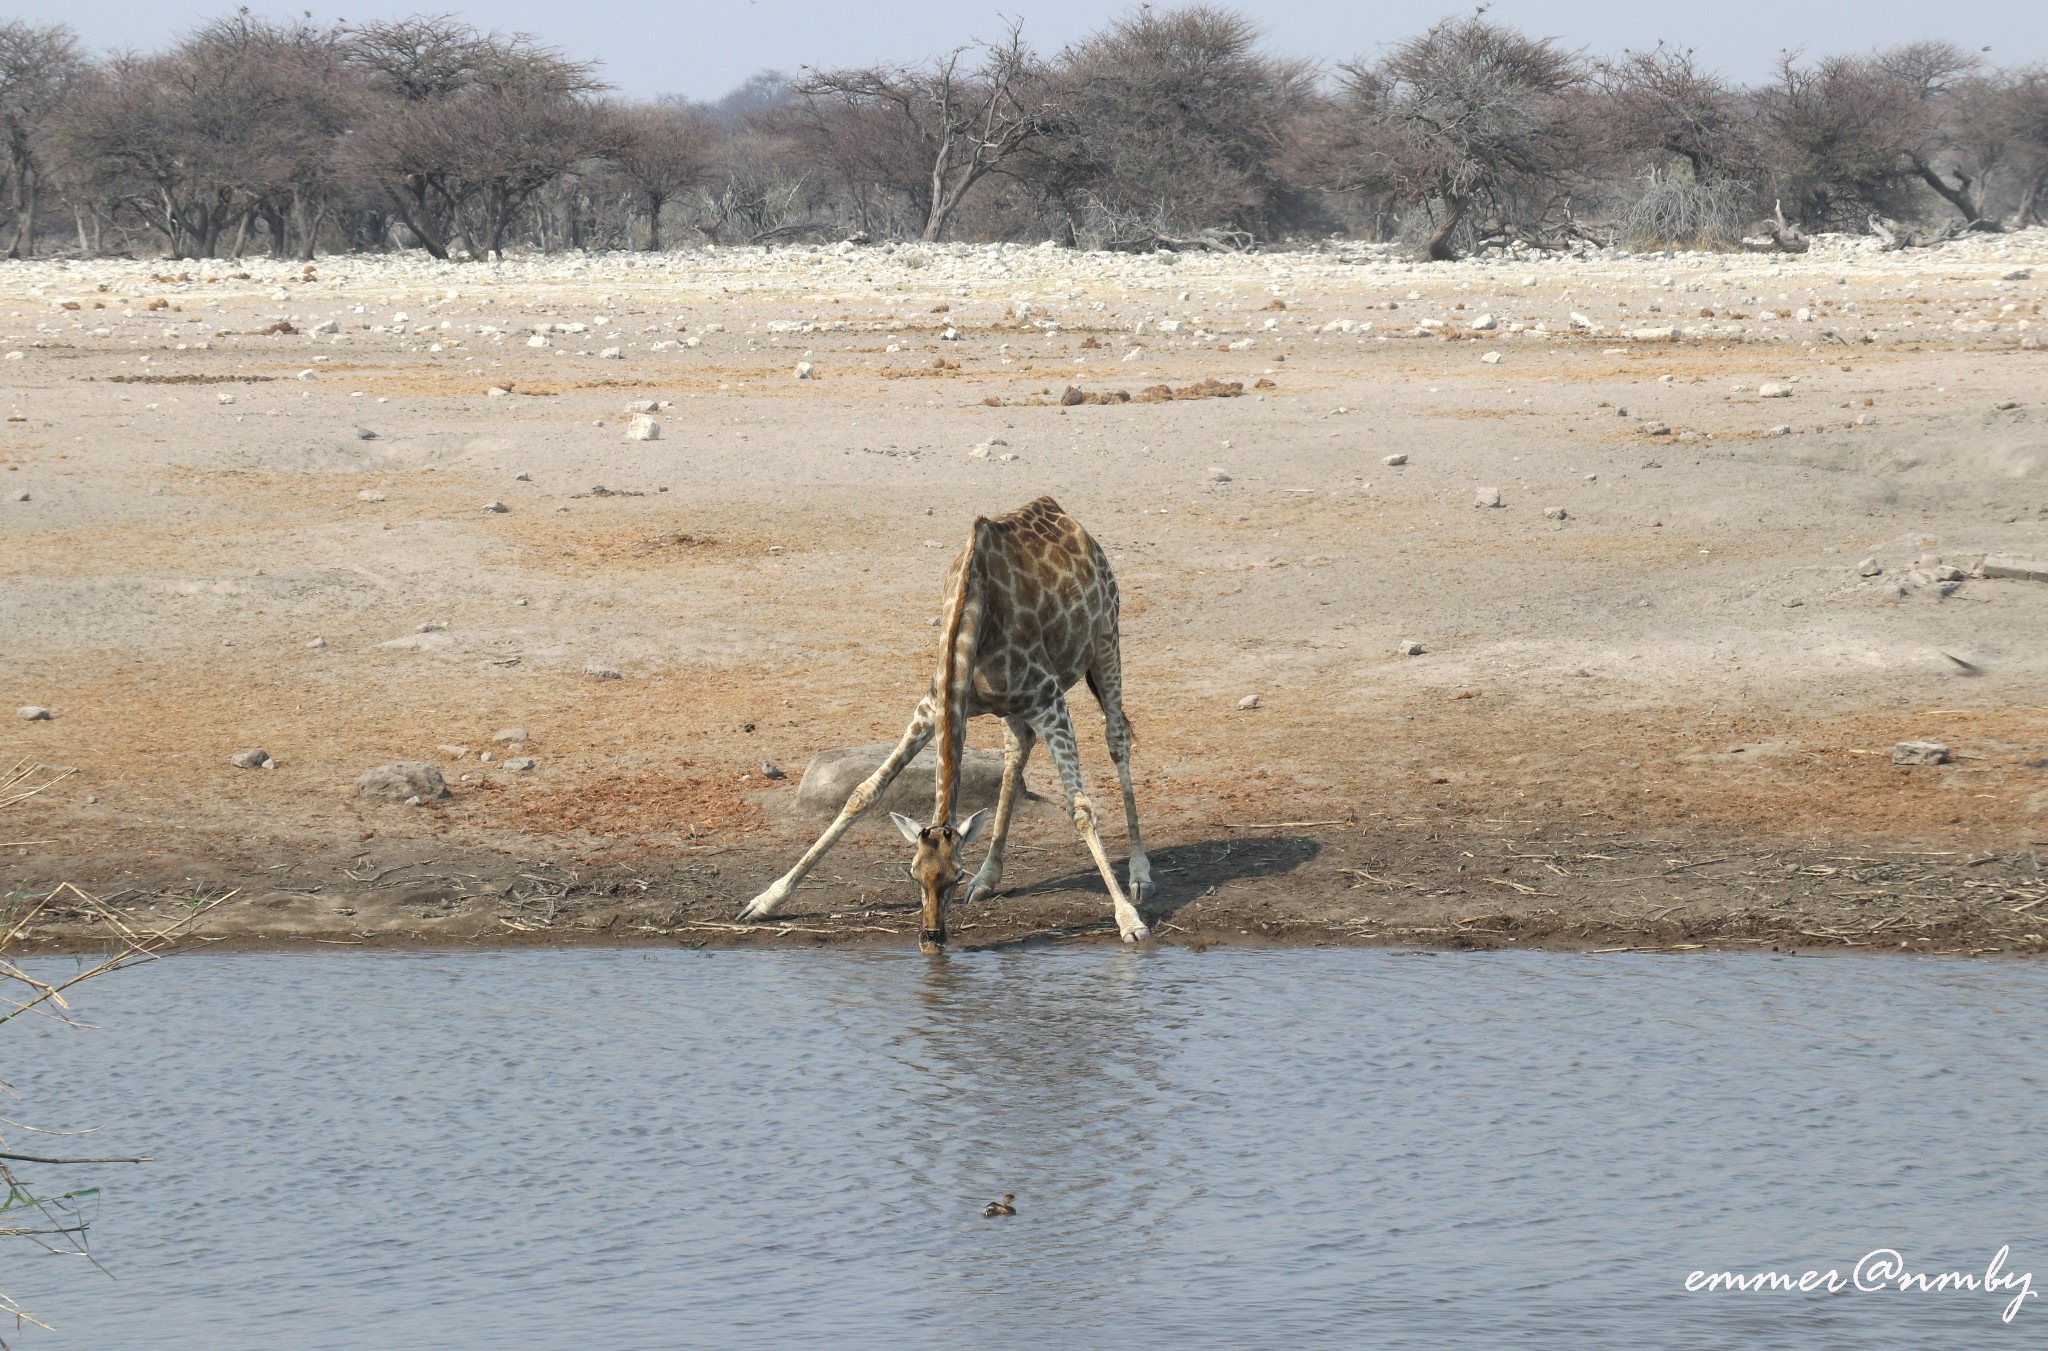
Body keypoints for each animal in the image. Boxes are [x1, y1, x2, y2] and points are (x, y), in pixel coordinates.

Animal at [737, 493, 1155, 949]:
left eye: (955, 876)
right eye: (913, 875)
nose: (931, 937)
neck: (974, 617)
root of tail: (1067, 516)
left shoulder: (1049, 701)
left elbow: (1080, 809)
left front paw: (1129, 920)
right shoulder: (933, 706)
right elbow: (863, 793)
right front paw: (765, 900)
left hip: (1106, 643)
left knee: (1117, 738)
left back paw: (1139, 875)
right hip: (1014, 707)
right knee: (1017, 749)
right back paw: (989, 878)